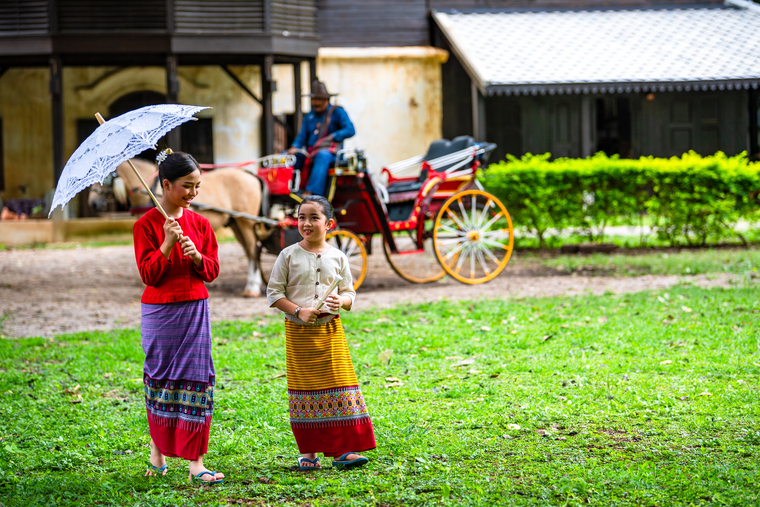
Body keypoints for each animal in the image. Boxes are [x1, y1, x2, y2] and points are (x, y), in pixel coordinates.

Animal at [90, 157, 268, 296]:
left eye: (103, 177)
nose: (92, 204)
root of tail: (251, 175)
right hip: (235, 222)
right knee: (250, 251)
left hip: (246, 221)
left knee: (253, 250)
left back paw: (252, 287)